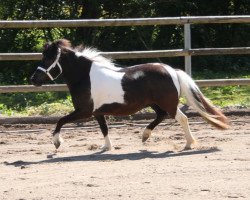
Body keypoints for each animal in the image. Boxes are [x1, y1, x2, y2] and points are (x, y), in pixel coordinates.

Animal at [30, 39, 229, 150]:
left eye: (48, 58)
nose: (34, 79)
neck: (85, 76)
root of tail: (172, 71)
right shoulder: (97, 112)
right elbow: (104, 128)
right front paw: (106, 147)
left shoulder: (84, 111)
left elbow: (60, 121)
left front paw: (57, 142)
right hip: (155, 103)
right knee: (161, 116)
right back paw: (145, 136)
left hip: (168, 103)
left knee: (182, 118)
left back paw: (188, 144)